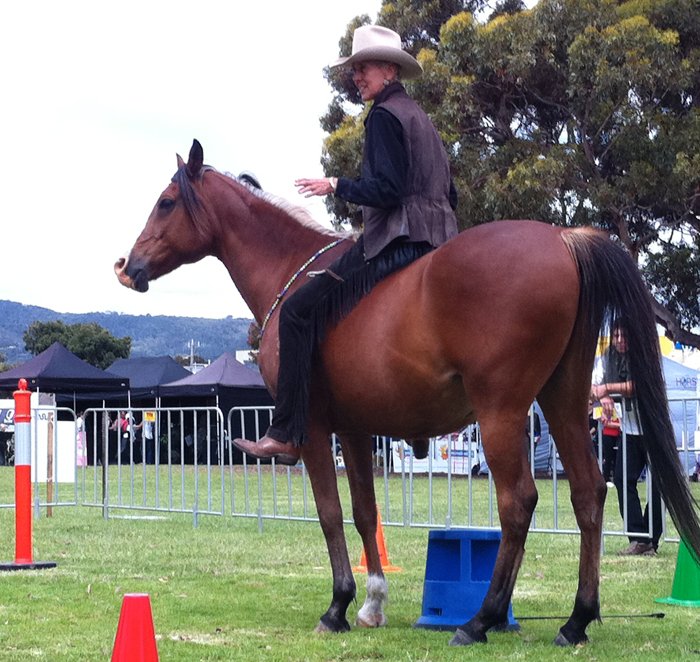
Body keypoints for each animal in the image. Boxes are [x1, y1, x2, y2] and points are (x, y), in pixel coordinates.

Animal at [115, 139, 700, 647]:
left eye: (166, 203)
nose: (127, 267)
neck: (295, 271)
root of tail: (561, 238)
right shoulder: (354, 430)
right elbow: (364, 512)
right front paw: (372, 603)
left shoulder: (316, 431)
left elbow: (329, 512)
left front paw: (338, 606)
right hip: (563, 401)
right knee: (588, 492)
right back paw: (576, 620)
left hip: (502, 412)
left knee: (519, 502)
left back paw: (481, 620)